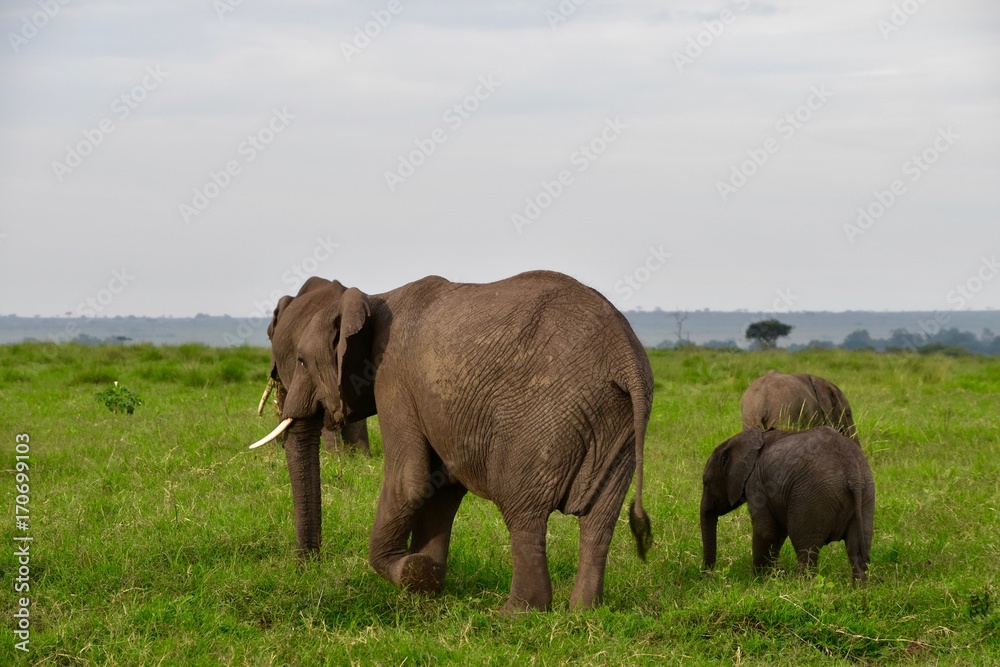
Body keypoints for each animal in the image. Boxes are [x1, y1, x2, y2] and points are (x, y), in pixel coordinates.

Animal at [248, 270, 656, 612]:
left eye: (302, 361)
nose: (307, 565)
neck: (373, 298)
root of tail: (625, 355)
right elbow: (440, 487)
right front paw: (427, 582)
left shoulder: (394, 378)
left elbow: (410, 481)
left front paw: (411, 572)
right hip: (620, 426)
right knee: (599, 522)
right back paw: (584, 612)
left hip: (546, 417)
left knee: (522, 509)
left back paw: (515, 614)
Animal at [700, 430, 872, 580]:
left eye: (706, 482)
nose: (708, 576)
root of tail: (852, 473)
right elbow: (779, 532)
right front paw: (772, 576)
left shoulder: (756, 484)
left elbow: (765, 531)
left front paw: (758, 580)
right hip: (866, 495)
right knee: (856, 550)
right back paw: (858, 589)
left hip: (812, 496)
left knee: (806, 550)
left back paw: (802, 585)